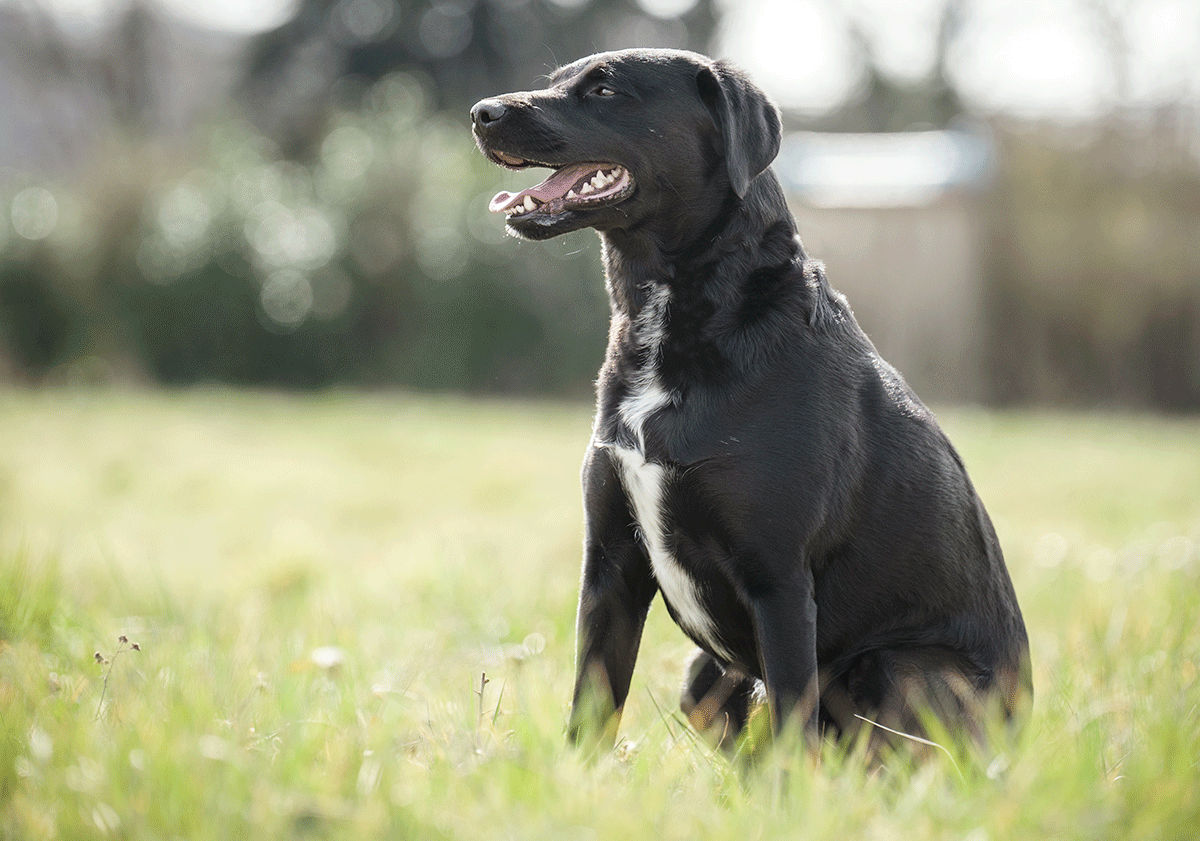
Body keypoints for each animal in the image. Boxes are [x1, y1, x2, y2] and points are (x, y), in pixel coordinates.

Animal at [468, 47, 1032, 748]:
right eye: (557, 81)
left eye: (605, 90)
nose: (480, 113)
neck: (682, 319)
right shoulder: (609, 568)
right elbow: (590, 709)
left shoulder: (779, 578)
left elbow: (794, 724)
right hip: (701, 675)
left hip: (898, 668)